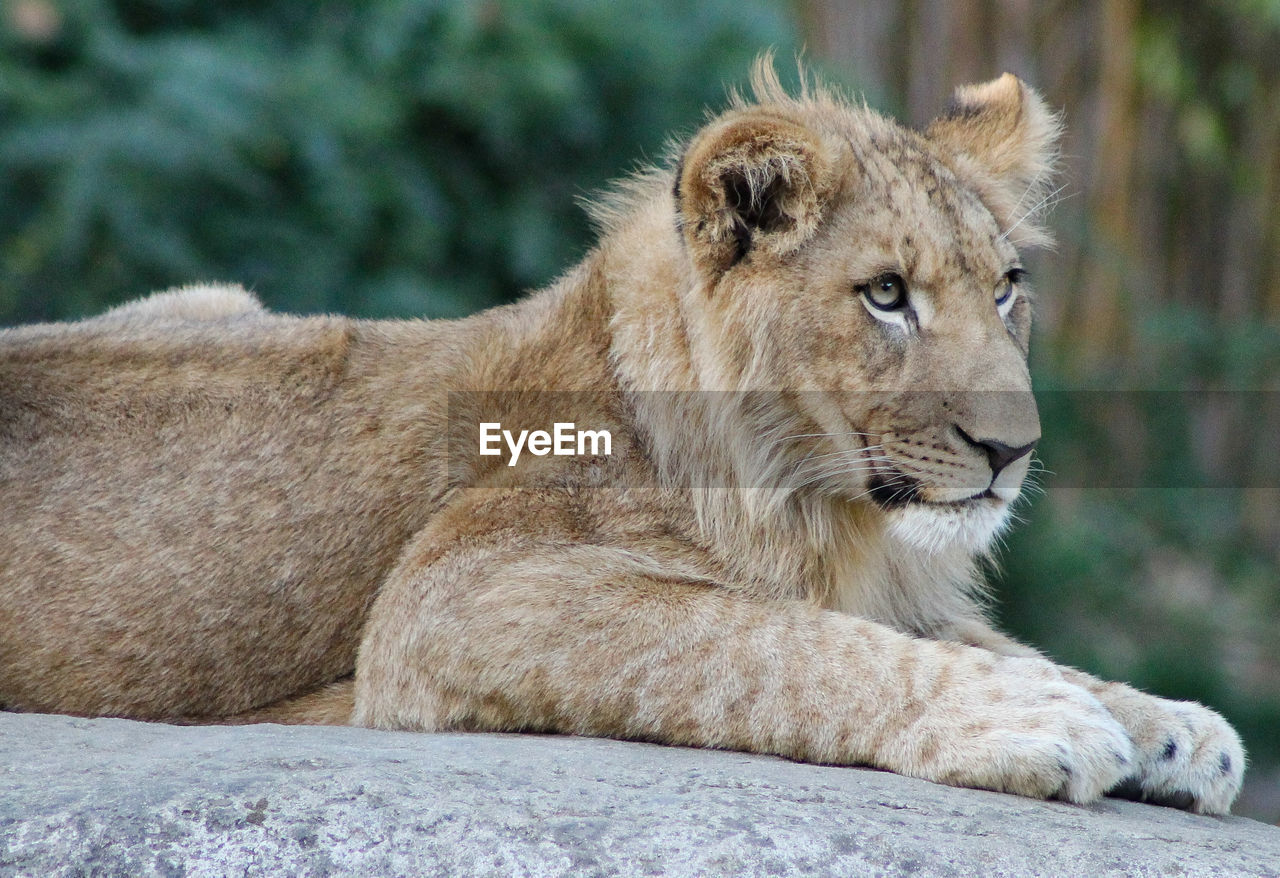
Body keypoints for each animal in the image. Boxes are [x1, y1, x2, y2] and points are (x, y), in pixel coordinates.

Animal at [0, 63, 1239, 819]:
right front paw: (1026, 719)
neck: (815, 503)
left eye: (1006, 288)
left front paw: (1171, 728)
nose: (1008, 453)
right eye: (885, 294)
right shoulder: (458, 597)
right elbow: (770, 643)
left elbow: (1002, 641)